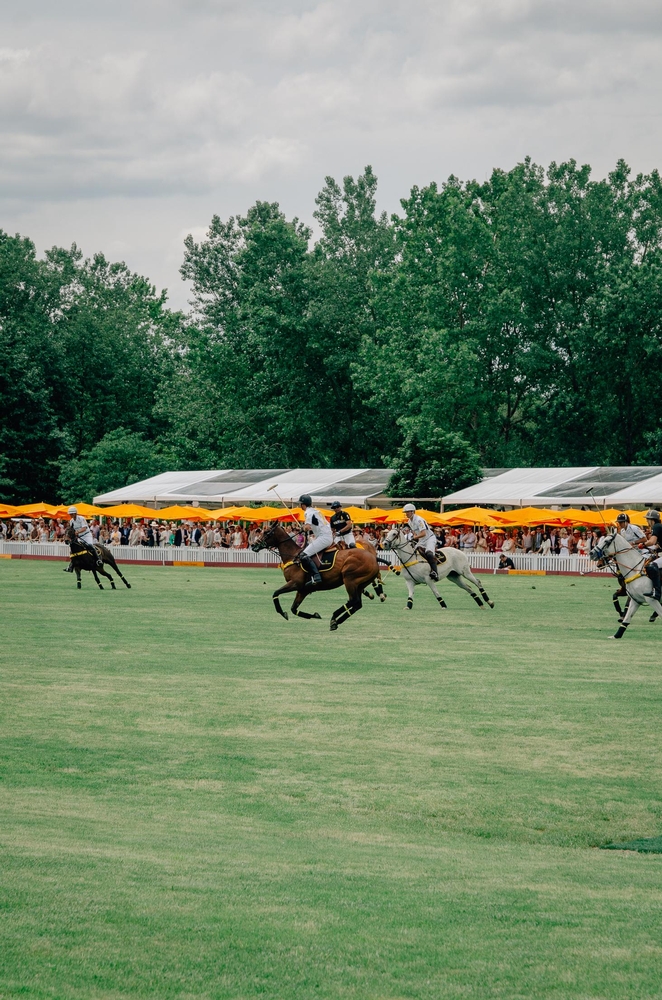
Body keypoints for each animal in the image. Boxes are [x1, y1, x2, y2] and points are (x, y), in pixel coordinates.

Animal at [254, 524, 390, 632]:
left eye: (266, 532)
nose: (254, 545)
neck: (293, 556)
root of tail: (374, 558)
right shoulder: (303, 590)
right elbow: (293, 609)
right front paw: (315, 615)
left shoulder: (295, 583)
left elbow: (275, 593)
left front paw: (282, 613)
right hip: (360, 584)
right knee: (357, 603)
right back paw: (336, 621)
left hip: (349, 579)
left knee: (353, 600)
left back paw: (334, 617)